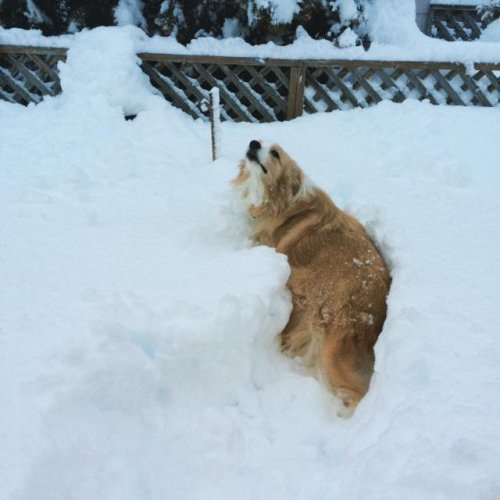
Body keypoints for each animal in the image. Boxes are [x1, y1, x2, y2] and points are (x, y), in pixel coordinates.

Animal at [232, 140, 392, 410]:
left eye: (275, 153)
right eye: (261, 142)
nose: (253, 143)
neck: (284, 200)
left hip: (330, 343)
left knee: (356, 392)